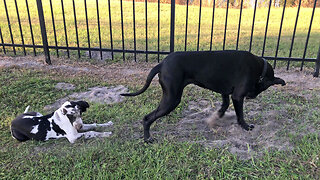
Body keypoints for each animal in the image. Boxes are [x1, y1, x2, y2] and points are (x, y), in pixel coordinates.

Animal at [121, 50, 286, 142]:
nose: (252, 96)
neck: (259, 67)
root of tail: (161, 64)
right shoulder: (237, 96)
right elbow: (240, 115)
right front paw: (245, 126)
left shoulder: (226, 92)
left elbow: (224, 105)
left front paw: (217, 116)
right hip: (172, 99)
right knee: (147, 118)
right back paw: (147, 139)